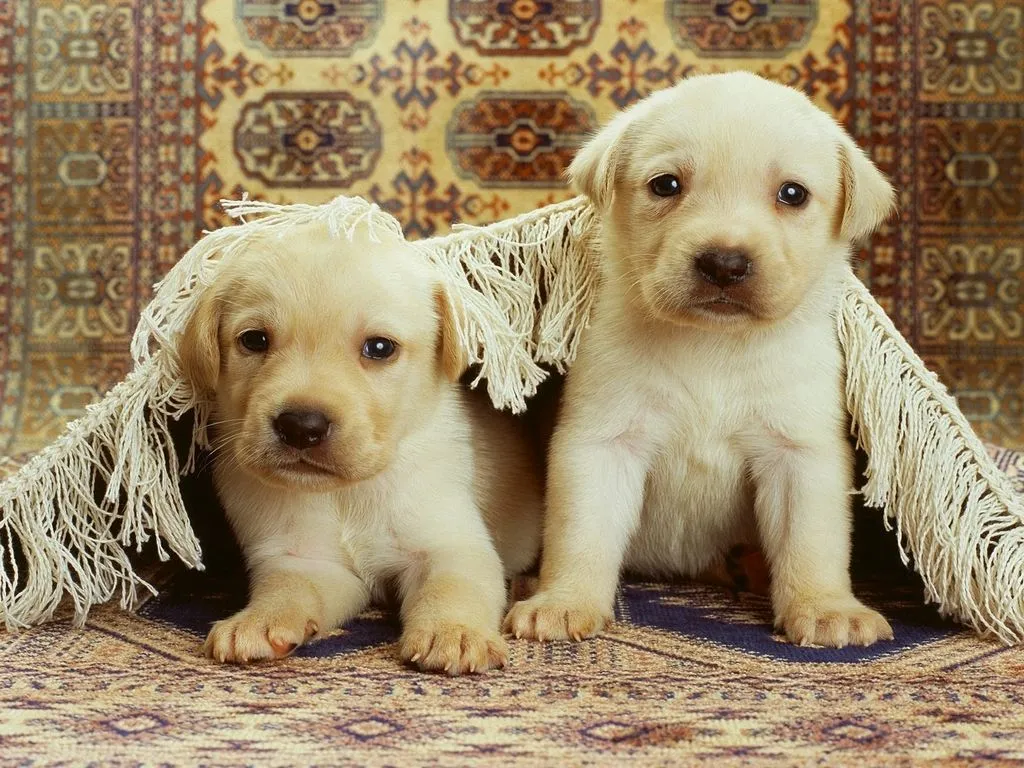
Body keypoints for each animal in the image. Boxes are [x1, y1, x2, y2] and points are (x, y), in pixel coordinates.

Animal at [176, 219, 544, 675]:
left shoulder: (451, 545)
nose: (301, 427)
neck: (347, 493)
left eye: (380, 348)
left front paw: (453, 632)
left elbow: (452, 587)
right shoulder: (307, 561)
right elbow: (285, 589)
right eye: (255, 340)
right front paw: (257, 620)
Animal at [503, 70, 897, 651]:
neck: (714, 346)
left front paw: (827, 608)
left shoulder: (799, 453)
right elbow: (581, 533)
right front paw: (564, 601)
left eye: (793, 194)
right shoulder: (602, 442)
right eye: (666, 185)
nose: (725, 264)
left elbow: (813, 543)